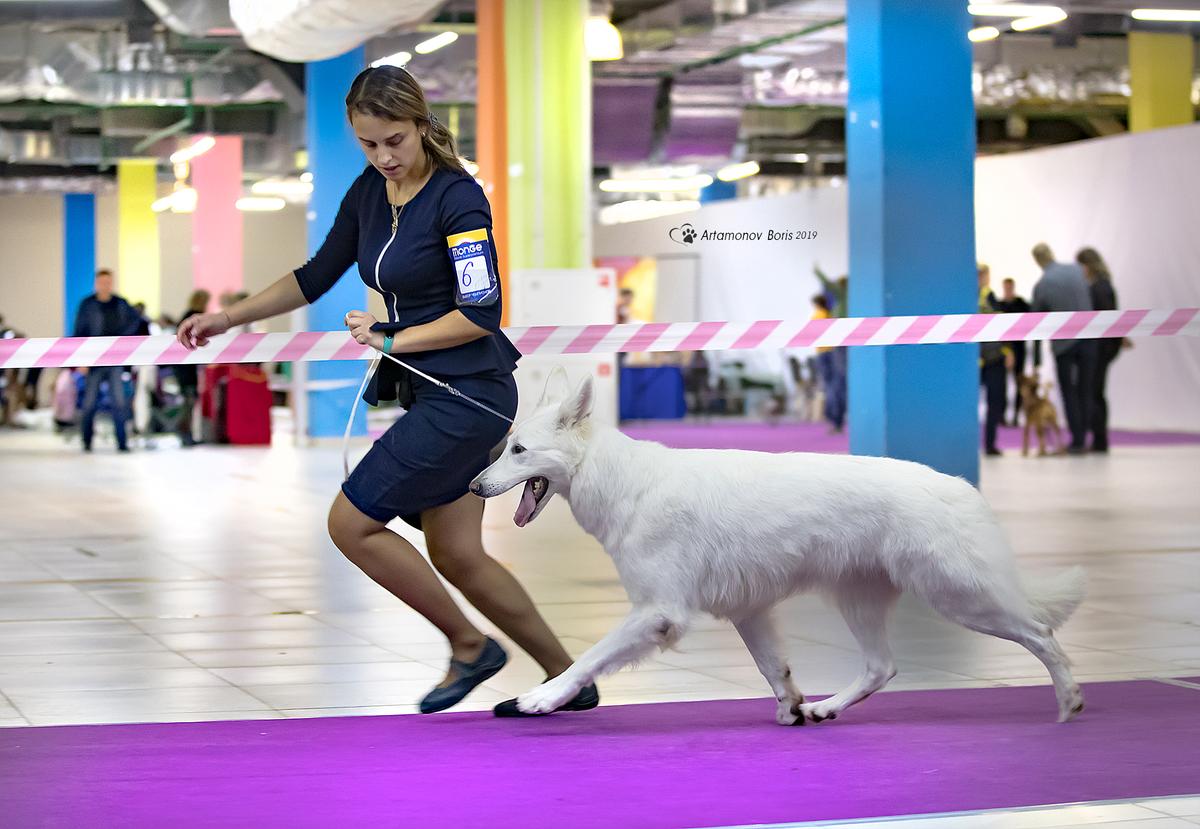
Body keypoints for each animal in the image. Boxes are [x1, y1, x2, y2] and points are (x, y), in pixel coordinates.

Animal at [470, 369, 1089, 724]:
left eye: (518, 450)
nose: (473, 487)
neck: (622, 478)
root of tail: (960, 487)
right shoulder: (749, 612)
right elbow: (774, 669)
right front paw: (790, 707)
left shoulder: (656, 613)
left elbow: (587, 660)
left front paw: (540, 700)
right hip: (861, 601)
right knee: (881, 668)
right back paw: (827, 708)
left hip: (960, 597)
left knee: (1042, 634)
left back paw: (1068, 701)